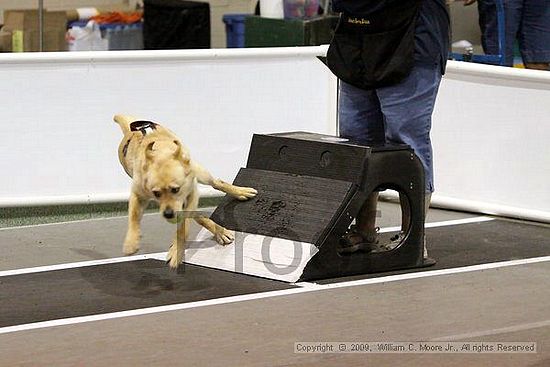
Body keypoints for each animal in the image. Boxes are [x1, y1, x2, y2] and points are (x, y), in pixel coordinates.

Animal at [113, 113, 258, 268]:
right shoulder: (138, 193)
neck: (160, 153)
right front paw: (131, 241)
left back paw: (240, 193)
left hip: (202, 174)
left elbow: (183, 228)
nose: (168, 214)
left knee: (217, 183)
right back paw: (219, 230)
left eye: (175, 189)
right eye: (156, 193)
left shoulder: (192, 193)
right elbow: (134, 216)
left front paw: (176, 250)